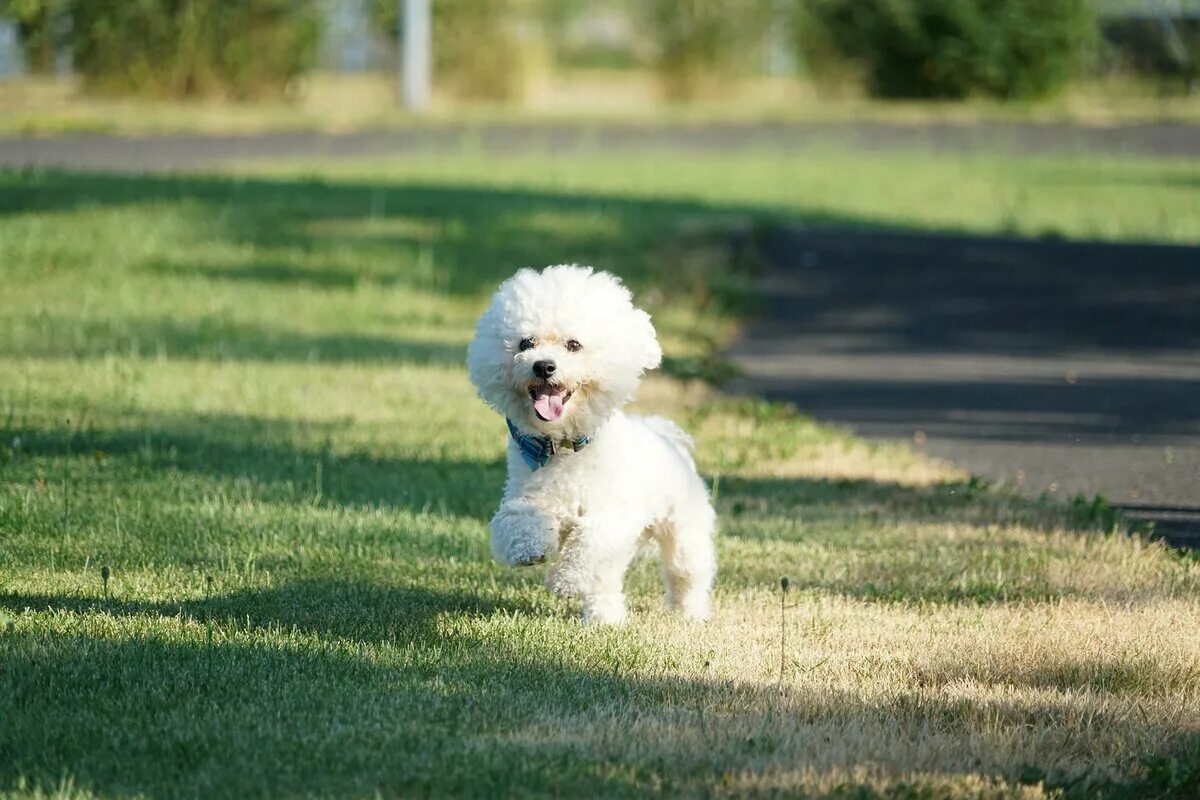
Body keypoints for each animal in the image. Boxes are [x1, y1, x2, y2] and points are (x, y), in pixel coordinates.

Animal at [465, 266, 710, 623]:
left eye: (574, 345)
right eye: (526, 342)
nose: (544, 366)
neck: (563, 446)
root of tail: (664, 434)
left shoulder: (612, 515)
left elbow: (589, 543)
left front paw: (565, 580)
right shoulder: (528, 495)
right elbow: (516, 518)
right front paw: (529, 548)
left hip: (684, 529)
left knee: (686, 573)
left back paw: (690, 613)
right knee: (607, 581)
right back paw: (604, 619)